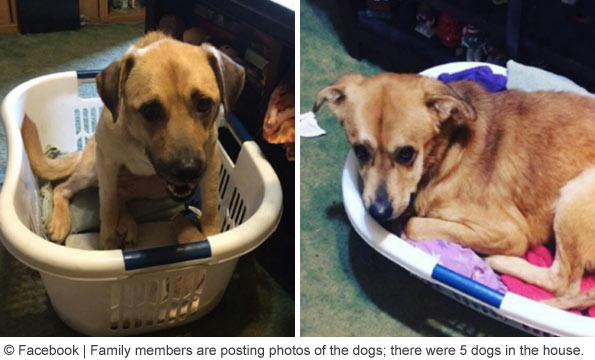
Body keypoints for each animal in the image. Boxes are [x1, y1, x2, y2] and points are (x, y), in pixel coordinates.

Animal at [21, 32, 244, 249]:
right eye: (150, 110)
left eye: (204, 104)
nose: (187, 171)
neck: (138, 144)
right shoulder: (108, 163)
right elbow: (108, 208)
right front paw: (108, 246)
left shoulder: (211, 158)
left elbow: (210, 205)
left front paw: (213, 237)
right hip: (91, 171)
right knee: (63, 189)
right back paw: (62, 222)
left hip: (154, 189)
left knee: (121, 196)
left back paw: (127, 223)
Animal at [316, 72, 595, 310]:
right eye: (360, 151)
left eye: (406, 154)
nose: (378, 212)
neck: (448, 151)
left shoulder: (510, 232)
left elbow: (413, 225)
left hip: (575, 194)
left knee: (564, 283)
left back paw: (498, 262)